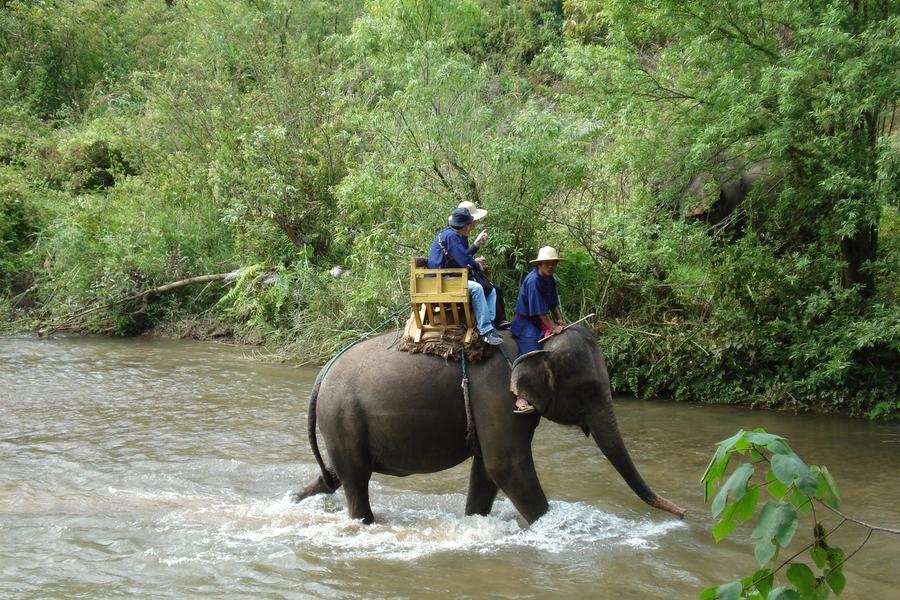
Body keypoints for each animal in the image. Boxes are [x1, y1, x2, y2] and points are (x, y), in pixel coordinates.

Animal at [292, 324, 684, 524]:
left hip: (342, 425)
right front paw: (552, 526)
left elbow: (486, 469)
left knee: (338, 475)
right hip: (342, 417)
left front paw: (474, 521)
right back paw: (363, 523)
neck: (533, 340)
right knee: (356, 482)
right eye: (588, 388)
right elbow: (506, 465)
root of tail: (320, 376)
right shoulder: (496, 394)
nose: (682, 513)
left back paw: (294, 499)